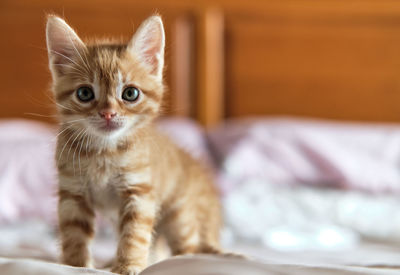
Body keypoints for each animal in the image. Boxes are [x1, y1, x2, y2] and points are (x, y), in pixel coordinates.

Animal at [47, 15, 222, 275]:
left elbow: (134, 234)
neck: (104, 152)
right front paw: (75, 266)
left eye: (130, 94)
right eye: (84, 93)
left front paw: (128, 266)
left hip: (180, 215)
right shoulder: (73, 192)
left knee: (188, 246)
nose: (108, 113)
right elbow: (74, 234)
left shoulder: (139, 191)